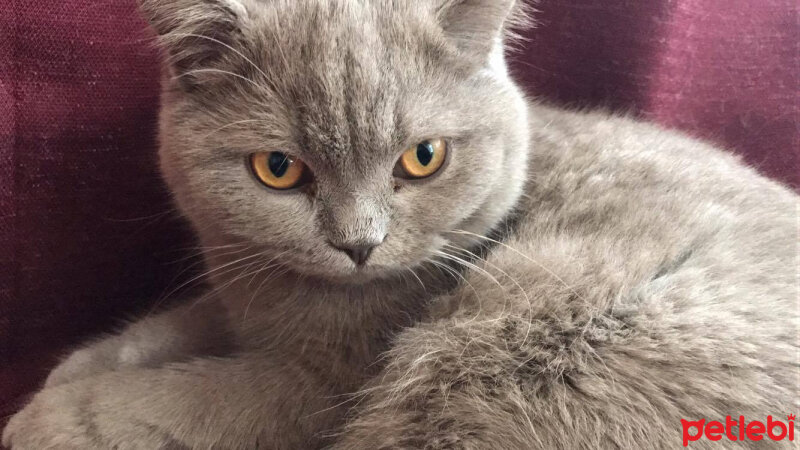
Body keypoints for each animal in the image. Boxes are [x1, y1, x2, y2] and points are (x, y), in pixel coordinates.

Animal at [3, 0, 796, 450]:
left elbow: (177, 401)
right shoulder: (242, 280)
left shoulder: (318, 387)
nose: (358, 243)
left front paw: (41, 419)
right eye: (278, 169)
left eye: (423, 157)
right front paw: (80, 363)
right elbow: (175, 323)